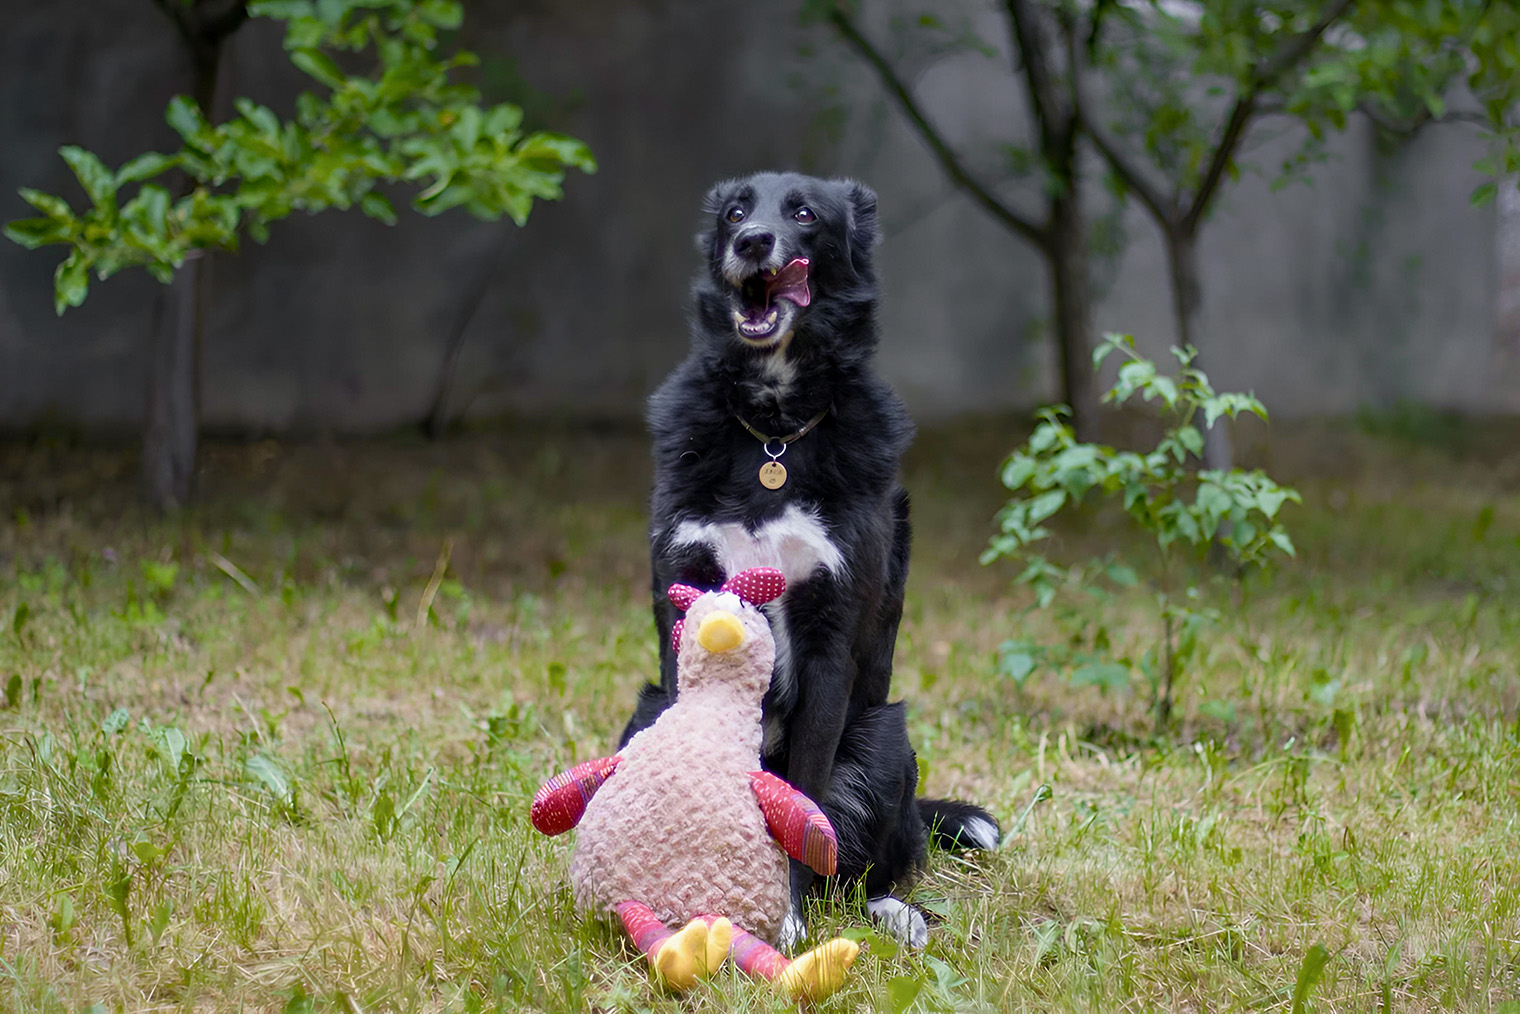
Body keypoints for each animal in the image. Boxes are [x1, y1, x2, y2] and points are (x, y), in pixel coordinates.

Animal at [617, 172, 997, 942]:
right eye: (735, 211)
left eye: (804, 213)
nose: (750, 241)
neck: (774, 429)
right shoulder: (682, 609)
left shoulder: (828, 643)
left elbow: (802, 805)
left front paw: (787, 923)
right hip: (640, 716)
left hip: (884, 740)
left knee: (866, 868)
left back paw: (895, 914)